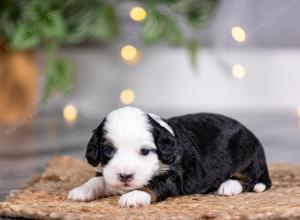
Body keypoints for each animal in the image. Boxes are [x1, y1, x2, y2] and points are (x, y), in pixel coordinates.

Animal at [68, 106, 272, 208]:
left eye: (144, 151)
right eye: (108, 150)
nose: (125, 177)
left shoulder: (174, 175)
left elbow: (154, 184)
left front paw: (134, 196)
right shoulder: (107, 171)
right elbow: (98, 179)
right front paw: (81, 190)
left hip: (245, 154)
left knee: (250, 179)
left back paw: (229, 185)